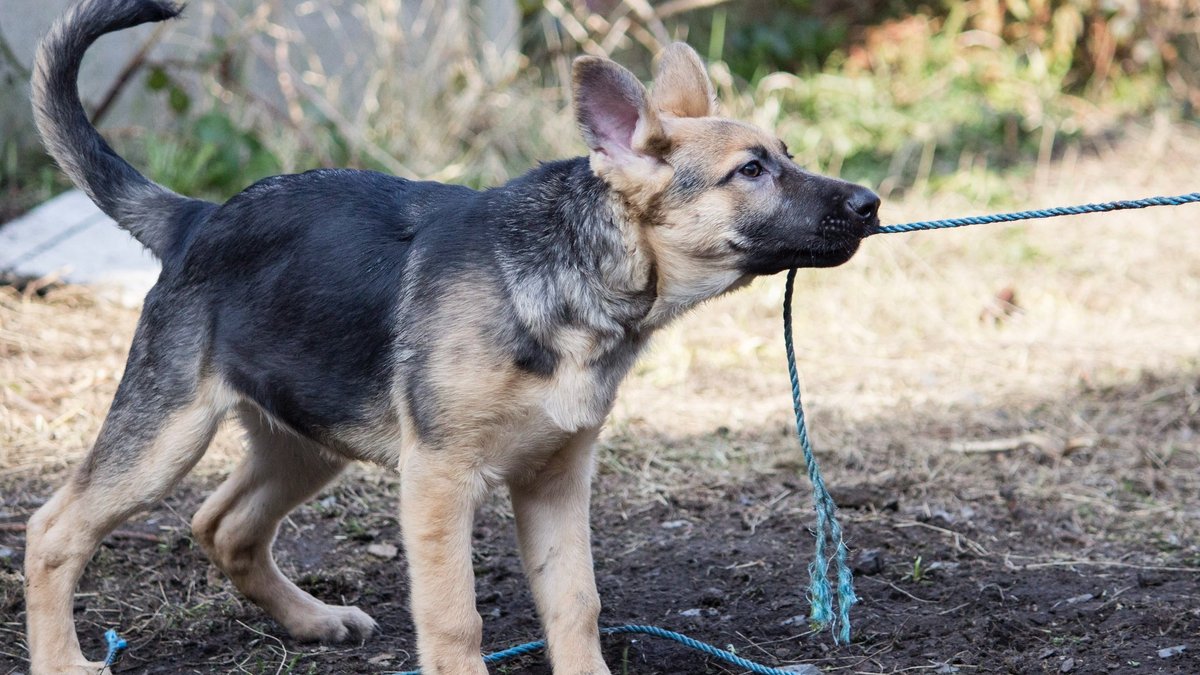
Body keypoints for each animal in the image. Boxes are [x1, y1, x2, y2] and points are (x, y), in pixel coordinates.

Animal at [23, 1, 878, 672]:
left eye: (787, 156)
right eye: (752, 170)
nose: (871, 203)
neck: (572, 276)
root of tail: (196, 217)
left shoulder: (556, 479)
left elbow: (576, 602)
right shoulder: (438, 480)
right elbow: (454, 618)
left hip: (308, 435)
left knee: (224, 523)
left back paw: (312, 619)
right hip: (166, 435)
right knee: (53, 528)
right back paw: (63, 658)